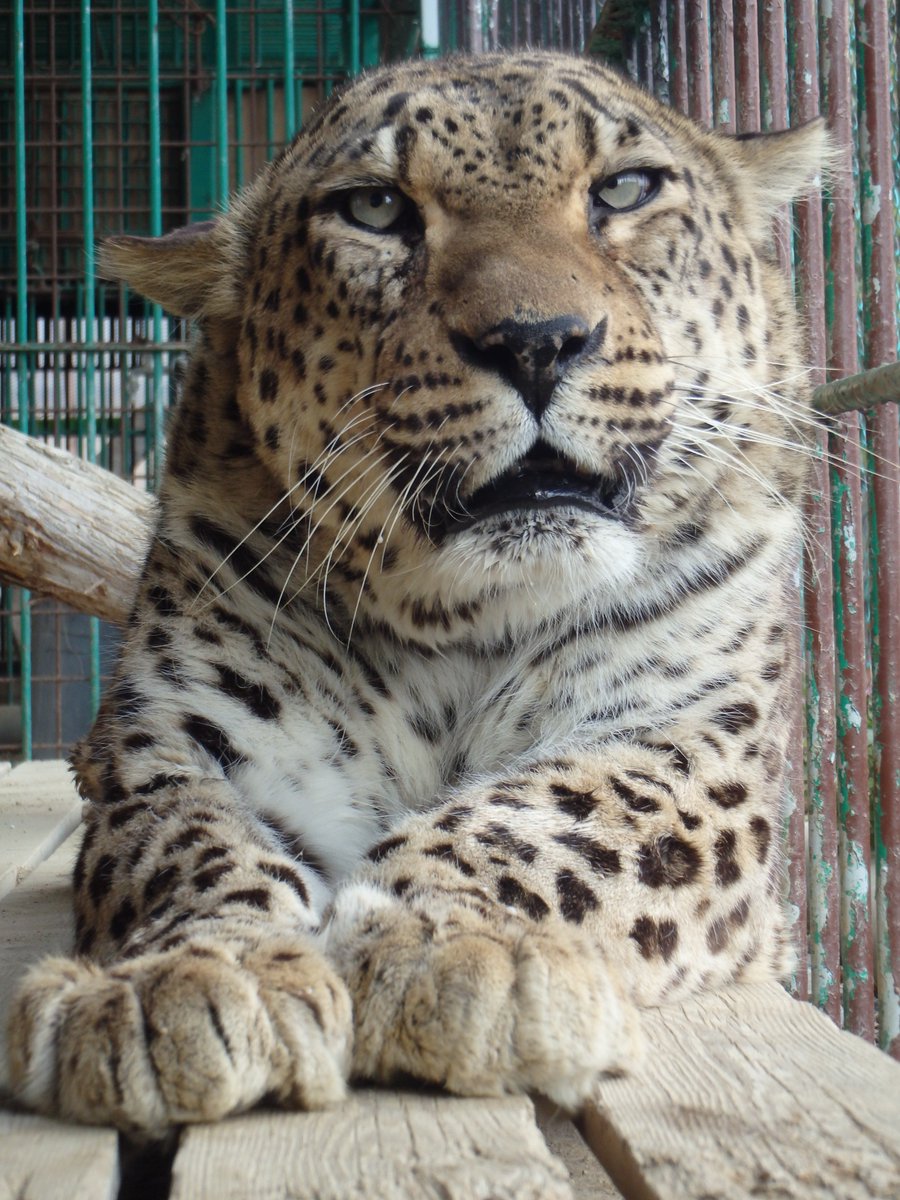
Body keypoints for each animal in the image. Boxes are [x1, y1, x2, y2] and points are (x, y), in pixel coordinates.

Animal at [7, 49, 830, 1132]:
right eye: (377, 208)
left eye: (624, 190)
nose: (538, 341)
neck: (470, 620)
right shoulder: (175, 739)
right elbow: (188, 843)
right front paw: (176, 982)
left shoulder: (691, 738)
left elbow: (556, 815)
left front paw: (460, 945)